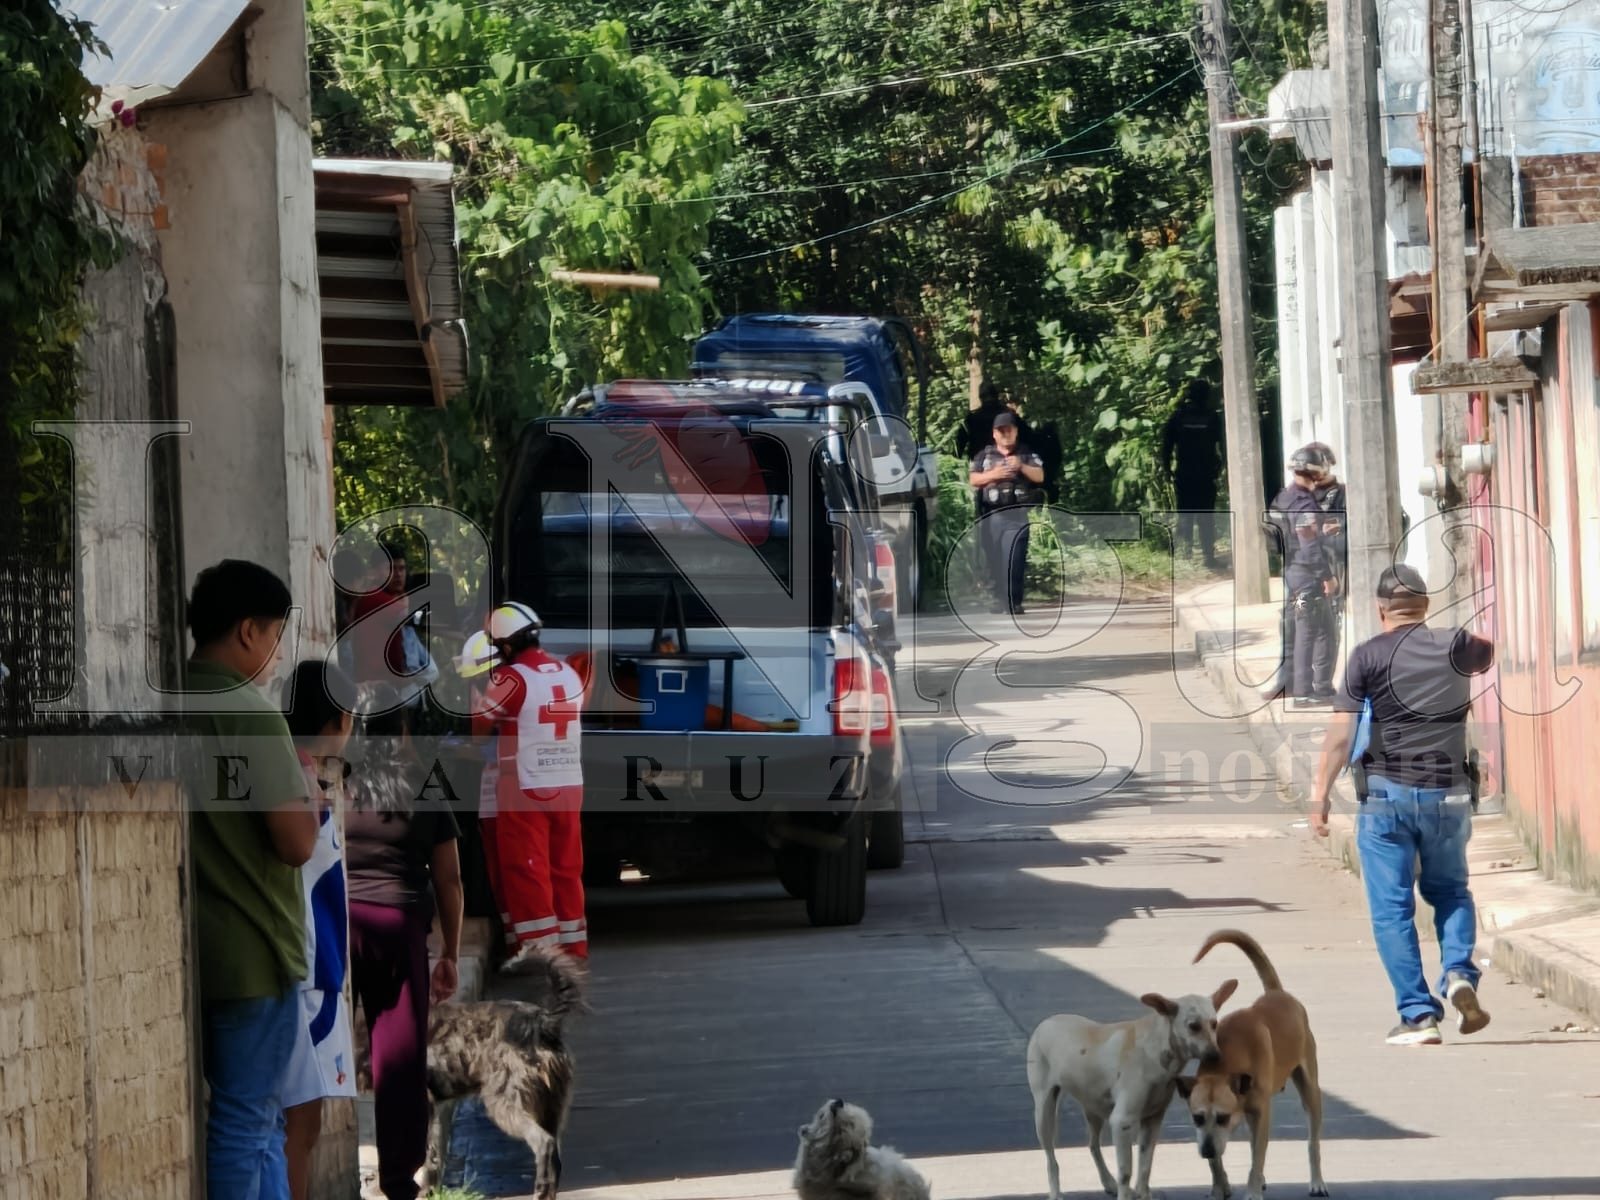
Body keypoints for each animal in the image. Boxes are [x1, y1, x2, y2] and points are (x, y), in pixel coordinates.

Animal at [422, 945, 586, 1200]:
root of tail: (543, 1022)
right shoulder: (434, 1108)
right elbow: (432, 1156)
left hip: (508, 1100)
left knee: (544, 1143)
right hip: (550, 1106)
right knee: (555, 1159)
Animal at [1027, 982, 1237, 1200]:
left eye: (1214, 1024)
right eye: (1193, 1026)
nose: (1216, 1056)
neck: (1155, 1052)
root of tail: (1046, 1021)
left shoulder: (1152, 1122)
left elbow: (1145, 1165)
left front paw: (1142, 1194)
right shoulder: (1122, 1123)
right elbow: (1126, 1172)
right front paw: (1126, 1192)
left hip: (1093, 1109)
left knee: (1093, 1145)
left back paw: (1108, 1182)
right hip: (1044, 1113)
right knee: (1051, 1158)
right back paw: (1055, 1192)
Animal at [1176, 930, 1327, 1200]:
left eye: (1223, 1118)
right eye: (1197, 1118)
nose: (1205, 1151)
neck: (1227, 1061)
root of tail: (1277, 992)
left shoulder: (1260, 1113)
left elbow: (1258, 1155)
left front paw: (1253, 1190)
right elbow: (1219, 1161)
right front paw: (1219, 1187)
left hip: (1310, 1089)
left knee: (1312, 1141)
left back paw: (1317, 1181)